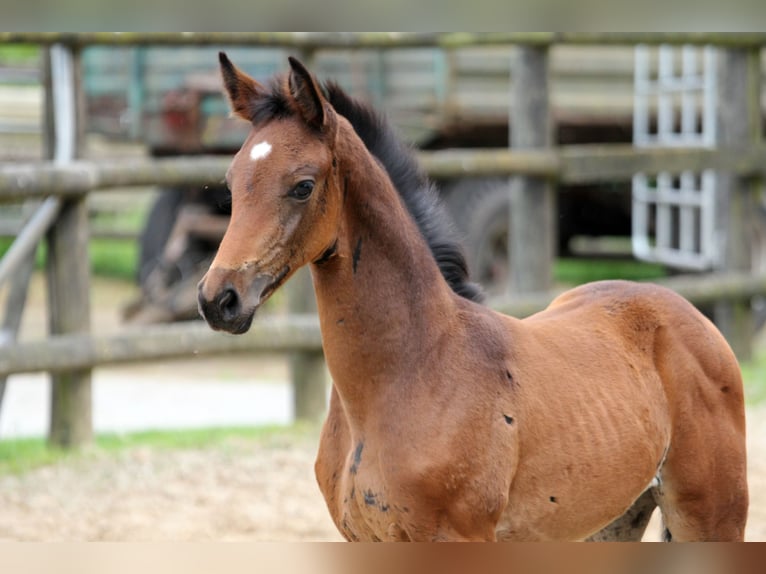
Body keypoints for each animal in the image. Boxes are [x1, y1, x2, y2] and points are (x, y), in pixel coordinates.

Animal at [198, 51, 752, 544]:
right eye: (231, 182)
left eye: (303, 186)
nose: (217, 299)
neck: (410, 372)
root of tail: (689, 314)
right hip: (611, 522)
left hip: (712, 515)